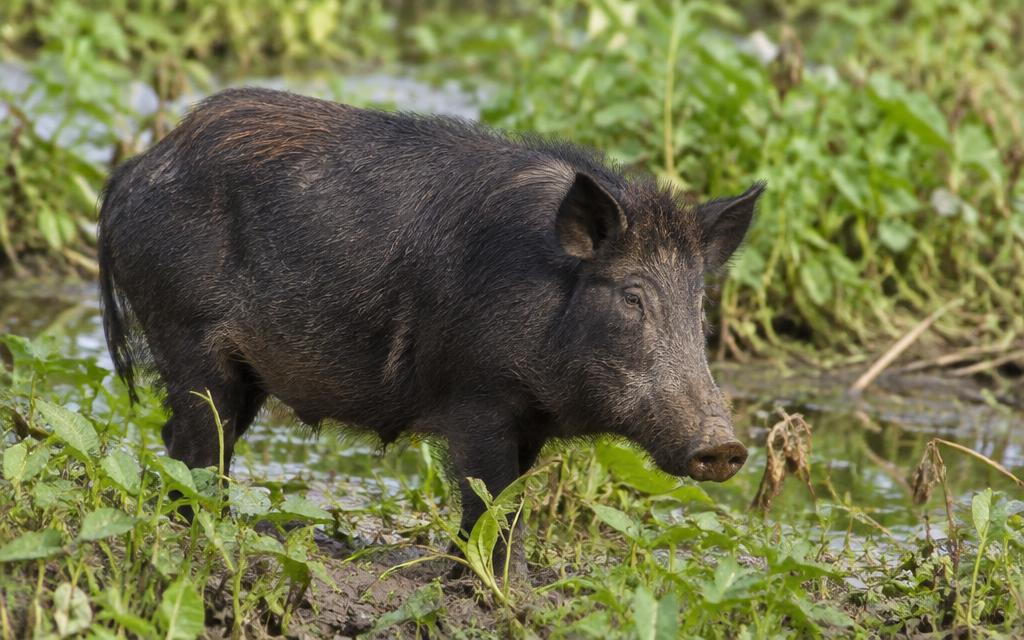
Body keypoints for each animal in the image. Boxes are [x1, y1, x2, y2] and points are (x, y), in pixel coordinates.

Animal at [98, 87, 761, 560]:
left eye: (697, 303)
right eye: (632, 298)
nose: (725, 446)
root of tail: (133, 171)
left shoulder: (529, 420)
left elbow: (509, 501)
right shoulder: (476, 396)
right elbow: (486, 499)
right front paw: (489, 584)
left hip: (241, 370)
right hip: (186, 336)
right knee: (196, 442)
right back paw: (203, 529)